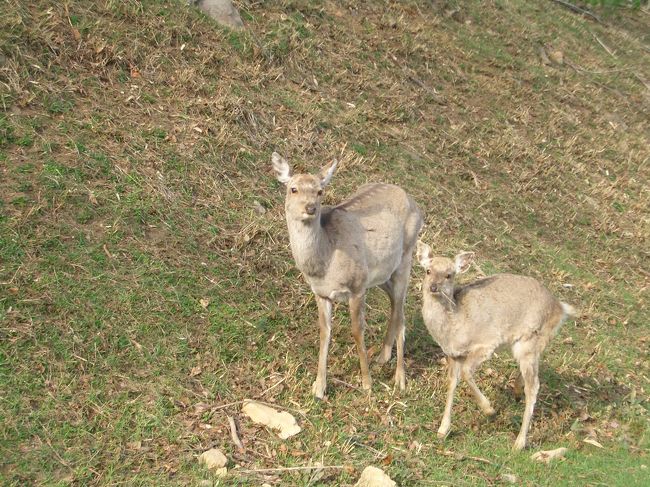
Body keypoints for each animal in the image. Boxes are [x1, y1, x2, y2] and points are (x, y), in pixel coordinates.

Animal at [270, 152, 422, 400]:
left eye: (320, 191)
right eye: (293, 189)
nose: (311, 208)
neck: (324, 265)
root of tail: (417, 206)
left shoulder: (357, 285)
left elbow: (357, 330)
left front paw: (367, 384)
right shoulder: (321, 293)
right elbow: (324, 333)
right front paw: (319, 388)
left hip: (406, 258)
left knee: (402, 312)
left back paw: (400, 378)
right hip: (381, 275)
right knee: (395, 306)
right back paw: (383, 356)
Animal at [416, 244, 572, 450]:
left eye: (449, 275)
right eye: (428, 270)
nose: (433, 287)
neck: (454, 328)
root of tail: (561, 309)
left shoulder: (486, 343)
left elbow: (466, 373)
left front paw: (490, 410)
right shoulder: (453, 354)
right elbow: (452, 383)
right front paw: (442, 430)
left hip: (529, 340)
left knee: (534, 387)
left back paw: (519, 443)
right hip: (529, 345)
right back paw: (516, 391)